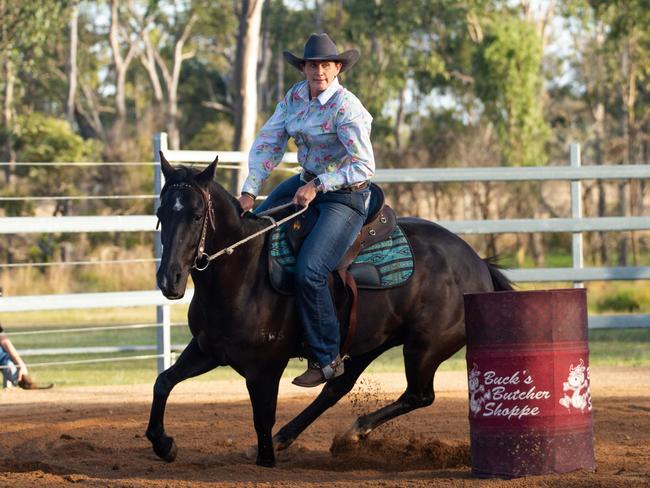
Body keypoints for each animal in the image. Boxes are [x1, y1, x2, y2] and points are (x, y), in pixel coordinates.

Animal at [146, 154, 512, 468]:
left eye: (196, 216)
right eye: (162, 214)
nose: (169, 279)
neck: (243, 272)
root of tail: (478, 264)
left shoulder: (264, 368)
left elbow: (262, 416)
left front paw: (265, 458)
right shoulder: (207, 349)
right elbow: (163, 382)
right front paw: (163, 443)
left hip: (424, 348)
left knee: (419, 395)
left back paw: (352, 432)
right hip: (366, 344)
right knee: (337, 388)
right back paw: (303, 437)